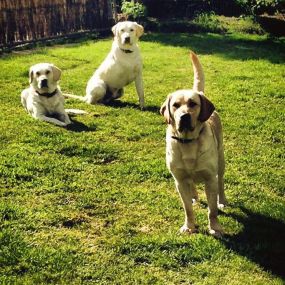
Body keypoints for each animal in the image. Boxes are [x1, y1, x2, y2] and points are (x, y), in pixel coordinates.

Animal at [160, 51, 226, 237]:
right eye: (175, 105)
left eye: (193, 104)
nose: (184, 116)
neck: (188, 142)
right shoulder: (179, 181)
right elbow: (187, 208)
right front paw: (189, 226)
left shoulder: (210, 179)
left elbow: (212, 210)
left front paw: (215, 227)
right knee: (192, 186)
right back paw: (194, 196)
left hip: (221, 160)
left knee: (221, 182)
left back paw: (222, 200)